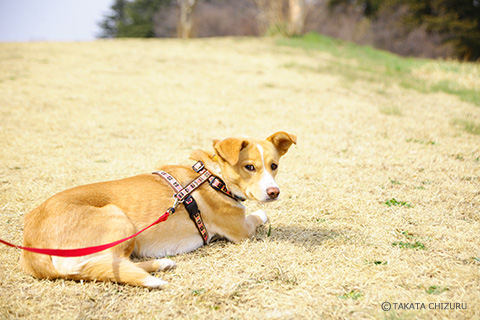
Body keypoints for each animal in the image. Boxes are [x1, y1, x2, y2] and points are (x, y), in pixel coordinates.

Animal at [21, 131, 296, 288]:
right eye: (249, 167)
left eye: (274, 166)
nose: (274, 192)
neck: (212, 176)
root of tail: (31, 247)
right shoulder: (241, 230)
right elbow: (259, 215)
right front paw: (262, 213)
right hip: (118, 219)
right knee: (112, 264)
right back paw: (159, 264)